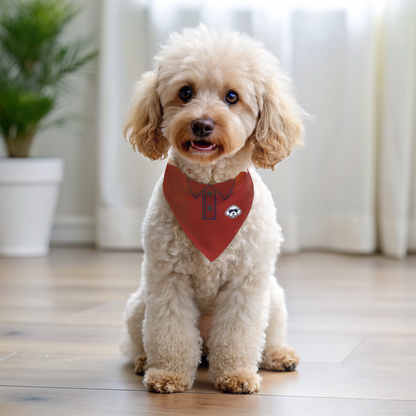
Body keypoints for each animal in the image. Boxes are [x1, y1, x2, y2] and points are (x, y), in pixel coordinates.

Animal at [122, 24, 304, 394]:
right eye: (185, 92)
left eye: (232, 97)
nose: (202, 124)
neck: (209, 190)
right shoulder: (168, 279)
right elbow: (170, 332)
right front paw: (169, 374)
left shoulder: (245, 283)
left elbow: (239, 335)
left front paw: (237, 374)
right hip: (138, 305)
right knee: (144, 340)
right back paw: (145, 360)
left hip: (274, 298)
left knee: (268, 337)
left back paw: (279, 356)